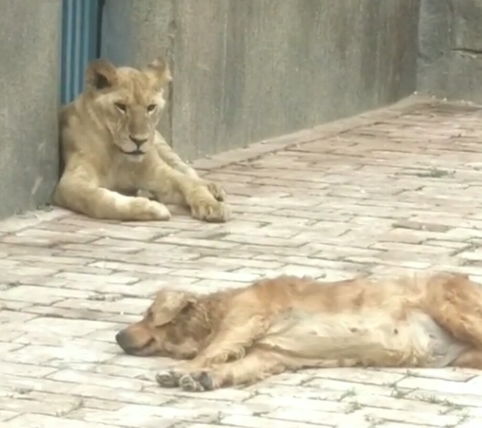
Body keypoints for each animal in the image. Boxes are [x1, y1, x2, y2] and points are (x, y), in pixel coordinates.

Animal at [116, 274, 482, 392]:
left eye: (149, 314)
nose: (118, 336)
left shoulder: (244, 319)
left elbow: (214, 350)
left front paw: (183, 370)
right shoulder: (268, 355)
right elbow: (237, 366)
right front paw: (205, 378)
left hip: (454, 311)